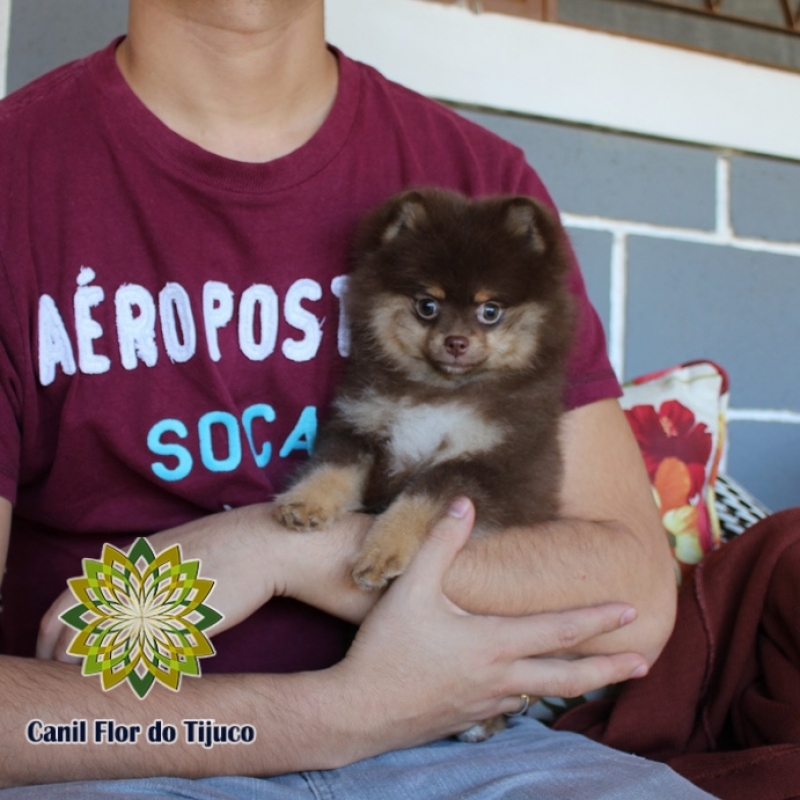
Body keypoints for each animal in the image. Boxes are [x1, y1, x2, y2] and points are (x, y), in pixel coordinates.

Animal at [276, 188, 576, 736]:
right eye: (427, 305)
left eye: (490, 310)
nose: (456, 341)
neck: (439, 393)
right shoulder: (362, 425)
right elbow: (333, 469)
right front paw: (306, 503)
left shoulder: (488, 465)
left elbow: (422, 494)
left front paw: (382, 551)